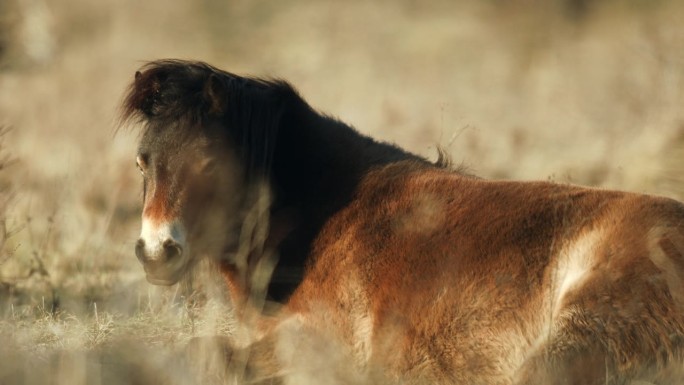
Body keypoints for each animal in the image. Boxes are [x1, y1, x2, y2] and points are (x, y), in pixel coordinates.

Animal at [120, 58, 684, 382]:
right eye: (142, 163)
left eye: (210, 164)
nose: (156, 251)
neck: (328, 214)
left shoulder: (321, 346)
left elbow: (208, 353)